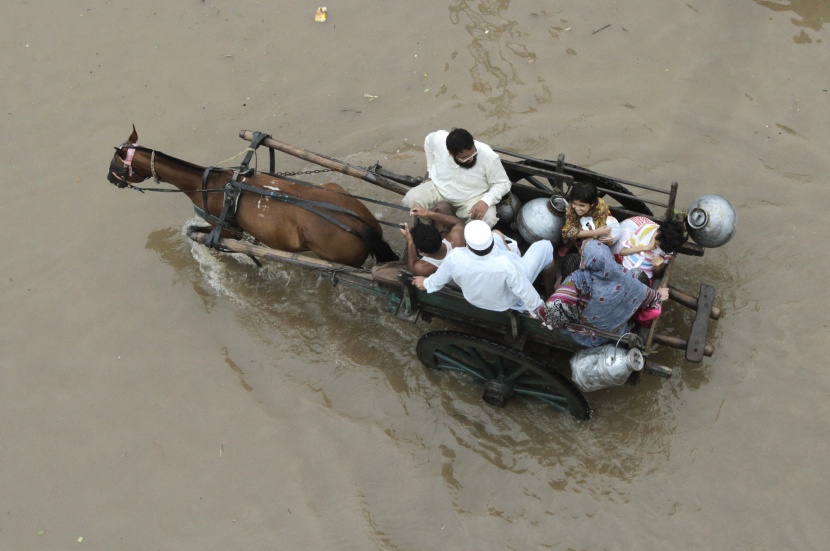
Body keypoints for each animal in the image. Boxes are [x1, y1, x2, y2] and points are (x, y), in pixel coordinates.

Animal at [107, 129, 400, 268]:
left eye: (116, 163)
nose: (110, 179)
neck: (209, 185)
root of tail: (360, 223)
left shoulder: (227, 230)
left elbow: (197, 234)